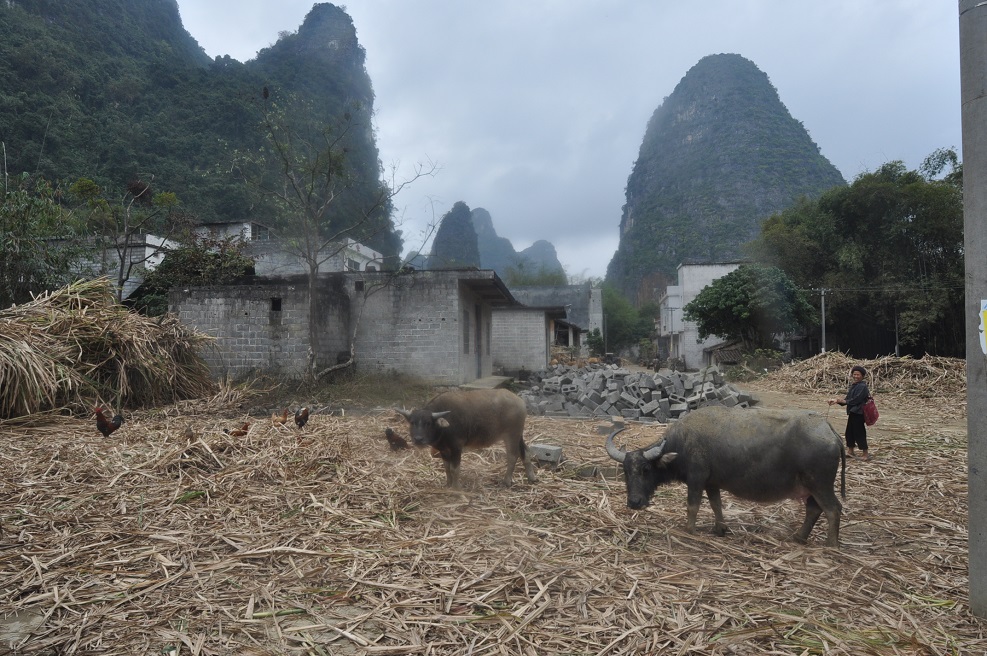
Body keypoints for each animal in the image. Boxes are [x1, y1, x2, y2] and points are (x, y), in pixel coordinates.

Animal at [394, 386, 536, 490]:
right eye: (412, 422)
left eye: (428, 423)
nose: (418, 439)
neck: (443, 428)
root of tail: (520, 402)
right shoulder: (443, 450)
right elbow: (447, 467)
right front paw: (448, 484)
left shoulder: (456, 447)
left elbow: (454, 469)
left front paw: (456, 487)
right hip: (519, 435)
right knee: (525, 451)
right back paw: (532, 477)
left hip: (511, 435)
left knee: (513, 455)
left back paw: (507, 481)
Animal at [604, 408, 844, 544]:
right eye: (626, 472)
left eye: (646, 469)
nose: (634, 502)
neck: (682, 443)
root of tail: (829, 430)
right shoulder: (712, 483)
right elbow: (716, 504)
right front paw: (720, 528)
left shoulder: (696, 479)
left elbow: (693, 506)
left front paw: (689, 530)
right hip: (813, 487)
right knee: (814, 509)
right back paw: (799, 537)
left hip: (820, 484)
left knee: (832, 509)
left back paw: (831, 544)